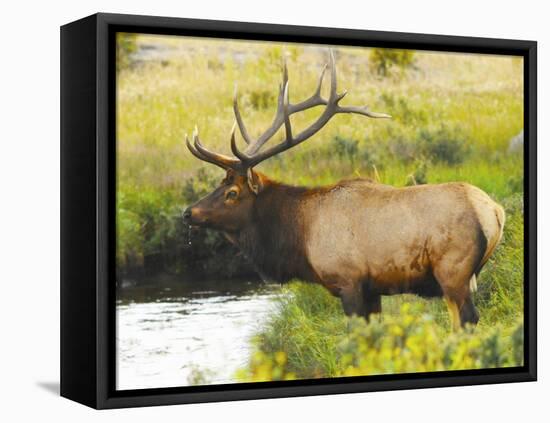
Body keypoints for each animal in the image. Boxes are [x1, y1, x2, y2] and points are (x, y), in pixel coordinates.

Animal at [183, 50, 506, 332]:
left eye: (232, 193)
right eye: (219, 185)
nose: (188, 212)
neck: (299, 236)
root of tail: (495, 212)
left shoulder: (348, 281)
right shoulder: (373, 289)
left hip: (453, 270)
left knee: (467, 319)